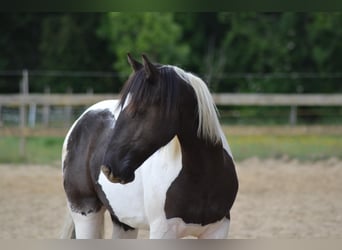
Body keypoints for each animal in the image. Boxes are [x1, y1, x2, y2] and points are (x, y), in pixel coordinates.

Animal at [61, 53, 238, 238]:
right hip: (86, 213)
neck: (203, 178)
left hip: (124, 222)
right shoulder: (163, 230)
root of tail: (82, 119)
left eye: (140, 110)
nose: (108, 168)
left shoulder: (218, 230)